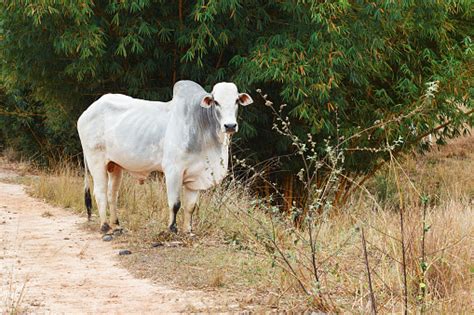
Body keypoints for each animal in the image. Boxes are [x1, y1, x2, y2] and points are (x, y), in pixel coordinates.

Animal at [77, 81, 252, 235]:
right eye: (216, 102)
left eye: (236, 100)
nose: (230, 126)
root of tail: (87, 112)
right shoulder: (173, 170)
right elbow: (175, 204)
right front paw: (172, 229)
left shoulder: (196, 176)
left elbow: (190, 206)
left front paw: (188, 231)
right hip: (96, 161)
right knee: (100, 192)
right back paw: (104, 226)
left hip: (115, 165)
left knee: (112, 194)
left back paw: (116, 225)